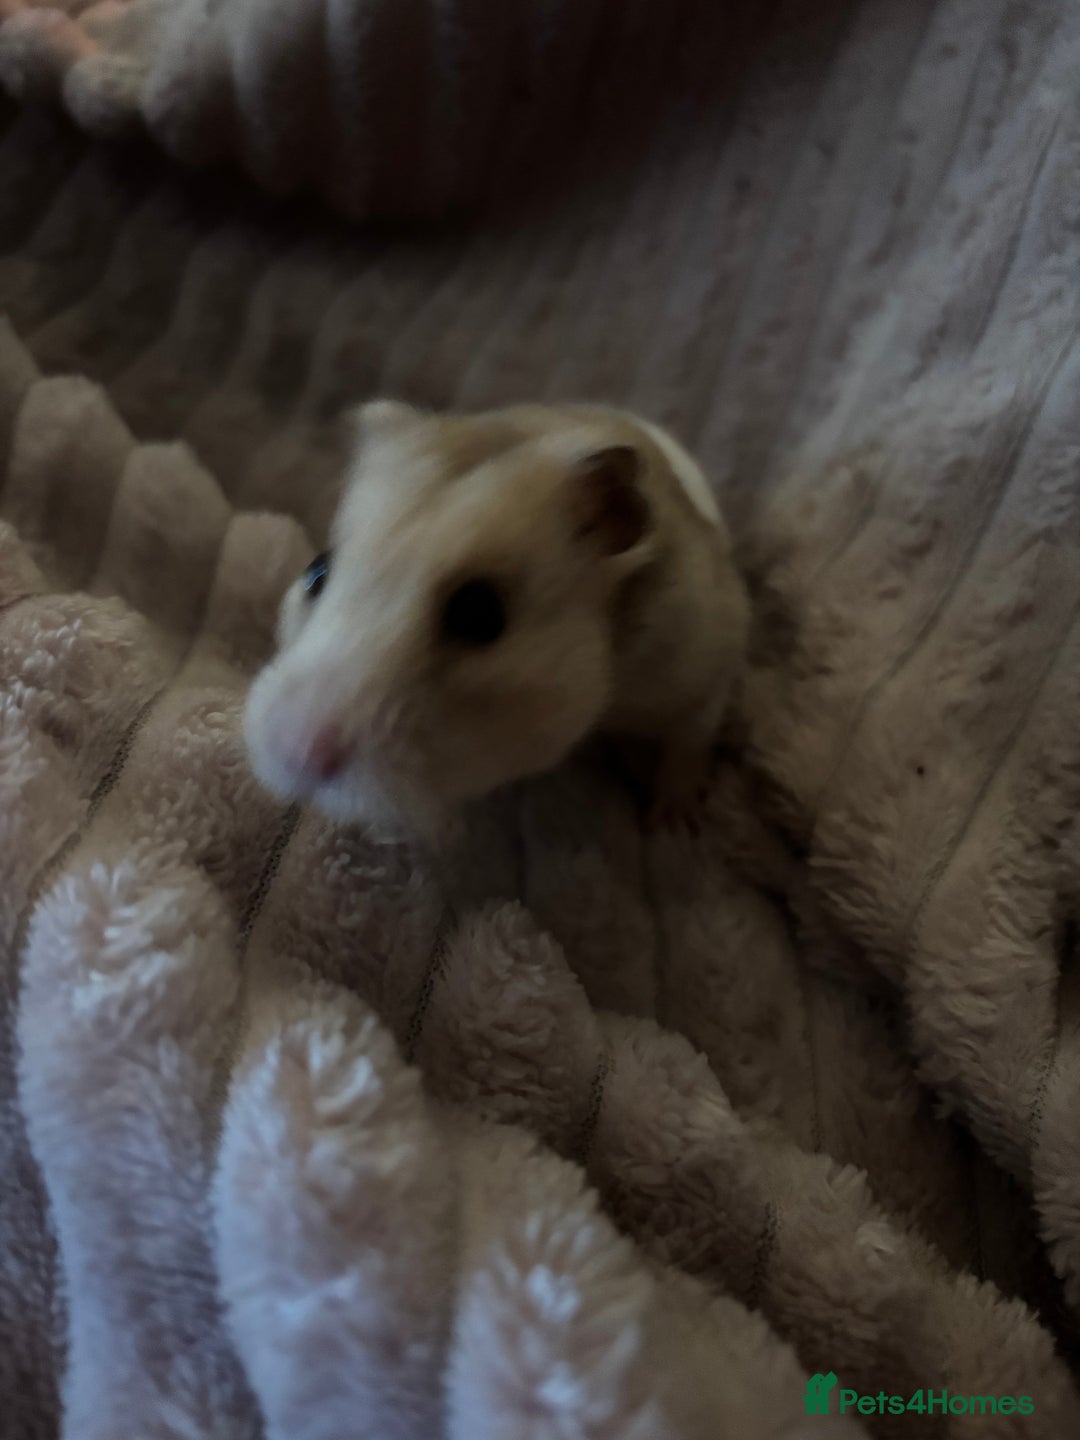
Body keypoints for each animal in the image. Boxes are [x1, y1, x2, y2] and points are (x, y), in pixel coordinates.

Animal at [244, 399, 751, 836]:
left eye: (480, 614)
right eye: (318, 570)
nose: (293, 756)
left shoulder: (708, 658)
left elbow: (692, 733)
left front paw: (674, 826)